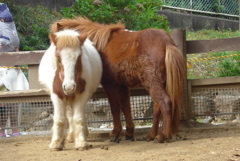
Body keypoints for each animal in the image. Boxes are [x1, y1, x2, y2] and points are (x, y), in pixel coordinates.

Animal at [50, 17, 185, 143]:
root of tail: (167, 42)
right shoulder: (122, 86)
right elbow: (126, 107)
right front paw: (129, 132)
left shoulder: (110, 85)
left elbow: (115, 107)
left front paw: (115, 132)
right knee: (158, 107)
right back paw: (151, 135)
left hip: (153, 84)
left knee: (165, 103)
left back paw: (163, 135)